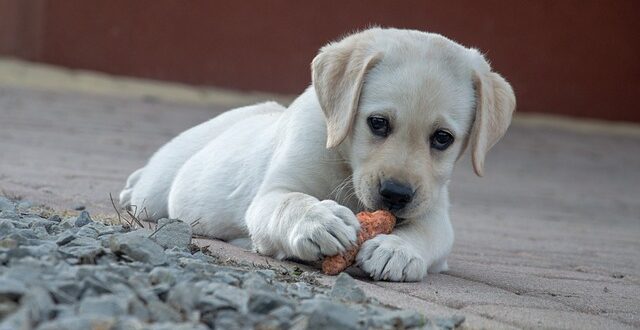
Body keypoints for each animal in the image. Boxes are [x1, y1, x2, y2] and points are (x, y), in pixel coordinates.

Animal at [120, 27, 516, 282]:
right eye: (377, 123)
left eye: (442, 139)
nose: (396, 194)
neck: (345, 165)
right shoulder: (271, 195)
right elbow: (290, 202)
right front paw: (319, 220)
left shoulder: (434, 210)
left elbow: (428, 233)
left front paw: (398, 250)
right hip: (157, 190)